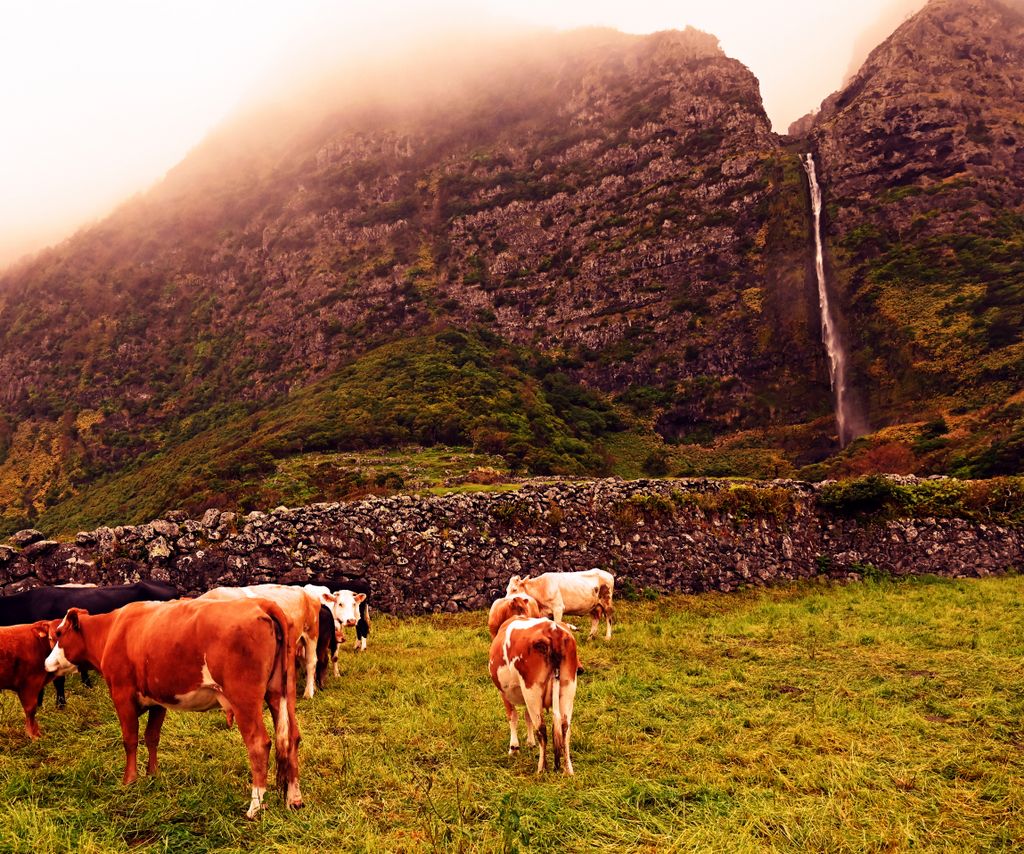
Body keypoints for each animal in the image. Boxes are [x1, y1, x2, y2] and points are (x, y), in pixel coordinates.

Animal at [46, 593, 301, 815]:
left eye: (58, 633)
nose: (47, 663)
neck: (112, 630)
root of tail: (260, 603)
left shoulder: (122, 694)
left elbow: (130, 740)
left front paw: (130, 780)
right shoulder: (158, 699)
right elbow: (151, 737)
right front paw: (152, 775)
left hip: (244, 698)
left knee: (259, 743)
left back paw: (255, 807)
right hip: (281, 693)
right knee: (291, 738)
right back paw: (294, 799)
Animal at [489, 614, 581, 774]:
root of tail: (553, 629)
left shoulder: (504, 694)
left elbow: (513, 717)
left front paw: (514, 748)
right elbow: (527, 717)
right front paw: (530, 742)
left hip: (532, 691)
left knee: (542, 730)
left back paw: (541, 769)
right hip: (568, 688)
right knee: (564, 728)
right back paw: (568, 770)